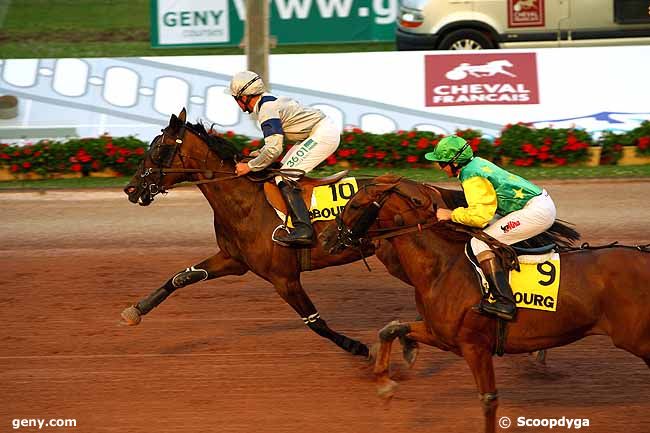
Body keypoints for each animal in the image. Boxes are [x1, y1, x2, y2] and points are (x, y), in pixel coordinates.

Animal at [320, 173, 648, 432]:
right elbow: (390, 328)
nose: (325, 238)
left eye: (355, 205)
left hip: (639, 341)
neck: (443, 266)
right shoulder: (442, 335)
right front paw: (387, 382)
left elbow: (489, 399)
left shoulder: (474, 346)